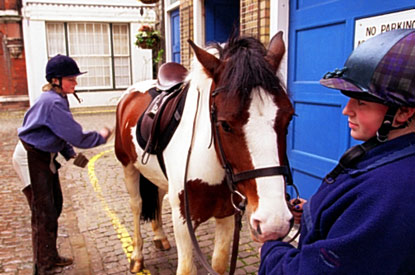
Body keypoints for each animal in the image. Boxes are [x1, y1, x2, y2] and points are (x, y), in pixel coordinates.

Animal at [114, 31, 296, 274]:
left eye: (289, 118)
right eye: (224, 124)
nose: (273, 222)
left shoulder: (227, 214)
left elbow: (218, 263)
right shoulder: (182, 220)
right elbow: (186, 269)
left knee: (158, 197)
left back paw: (160, 237)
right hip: (128, 167)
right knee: (136, 205)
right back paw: (137, 255)